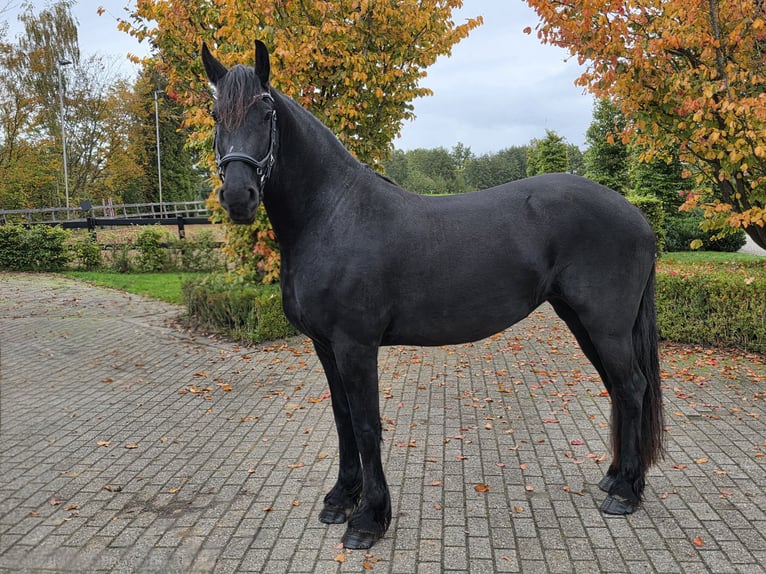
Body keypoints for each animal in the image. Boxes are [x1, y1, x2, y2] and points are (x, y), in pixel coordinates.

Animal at [201, 41, 665, 550]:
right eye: (215, 114)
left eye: (265, 113)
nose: (239, 196)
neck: (334, 215)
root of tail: (636, 216)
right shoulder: (325, 346)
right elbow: (343, 421)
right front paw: (341, 499)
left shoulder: (355, 346)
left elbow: (366, 425)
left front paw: (369, 519)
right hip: (581, 322)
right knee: (619, 389)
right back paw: (615, 477)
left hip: (607, 326)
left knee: (632, 387)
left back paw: (625, 494)